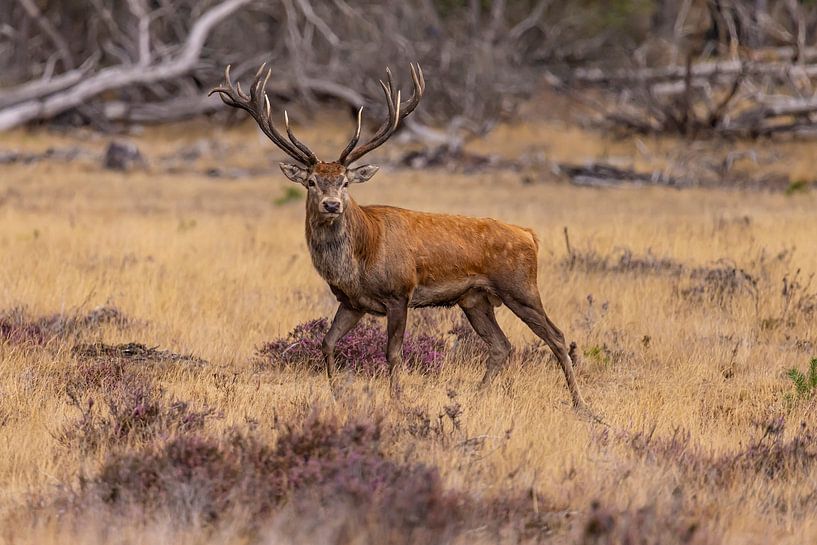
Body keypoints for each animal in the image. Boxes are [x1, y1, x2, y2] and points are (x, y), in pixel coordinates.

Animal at [210, 63, 589, 413]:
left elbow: (392, 353)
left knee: (557, 337)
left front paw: (397, 400)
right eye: (311, 182)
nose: (332, 205)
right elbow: (326, 343)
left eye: (345, 182)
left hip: (520, 287)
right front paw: (337, 395)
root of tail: (530, 235)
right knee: (501, 345)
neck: (361, 258)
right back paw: (475, 398)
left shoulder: (399, 294)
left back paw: (579, 403)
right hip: (475, 299)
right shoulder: (351, 302)